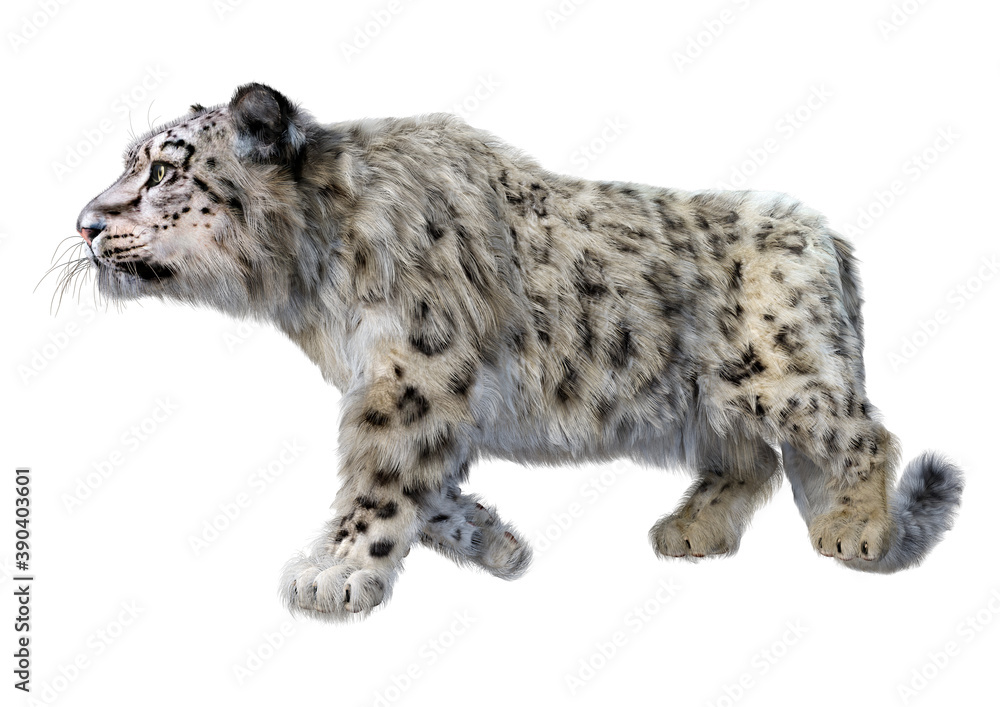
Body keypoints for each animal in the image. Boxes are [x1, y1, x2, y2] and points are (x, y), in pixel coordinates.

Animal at [69, 83, 964, 622]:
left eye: (163, 171)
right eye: (134, 163)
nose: (83, 223)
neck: (309, 288)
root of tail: (827, 234)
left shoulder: (413, 376)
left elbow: (380, 477)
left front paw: (334, 571)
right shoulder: (406, 389)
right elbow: (423, 484)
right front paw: (496, 543)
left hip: (786, 373)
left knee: (863, 431)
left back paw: (857, 528)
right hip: (709, 401)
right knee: (756, 459)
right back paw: (691, 528)